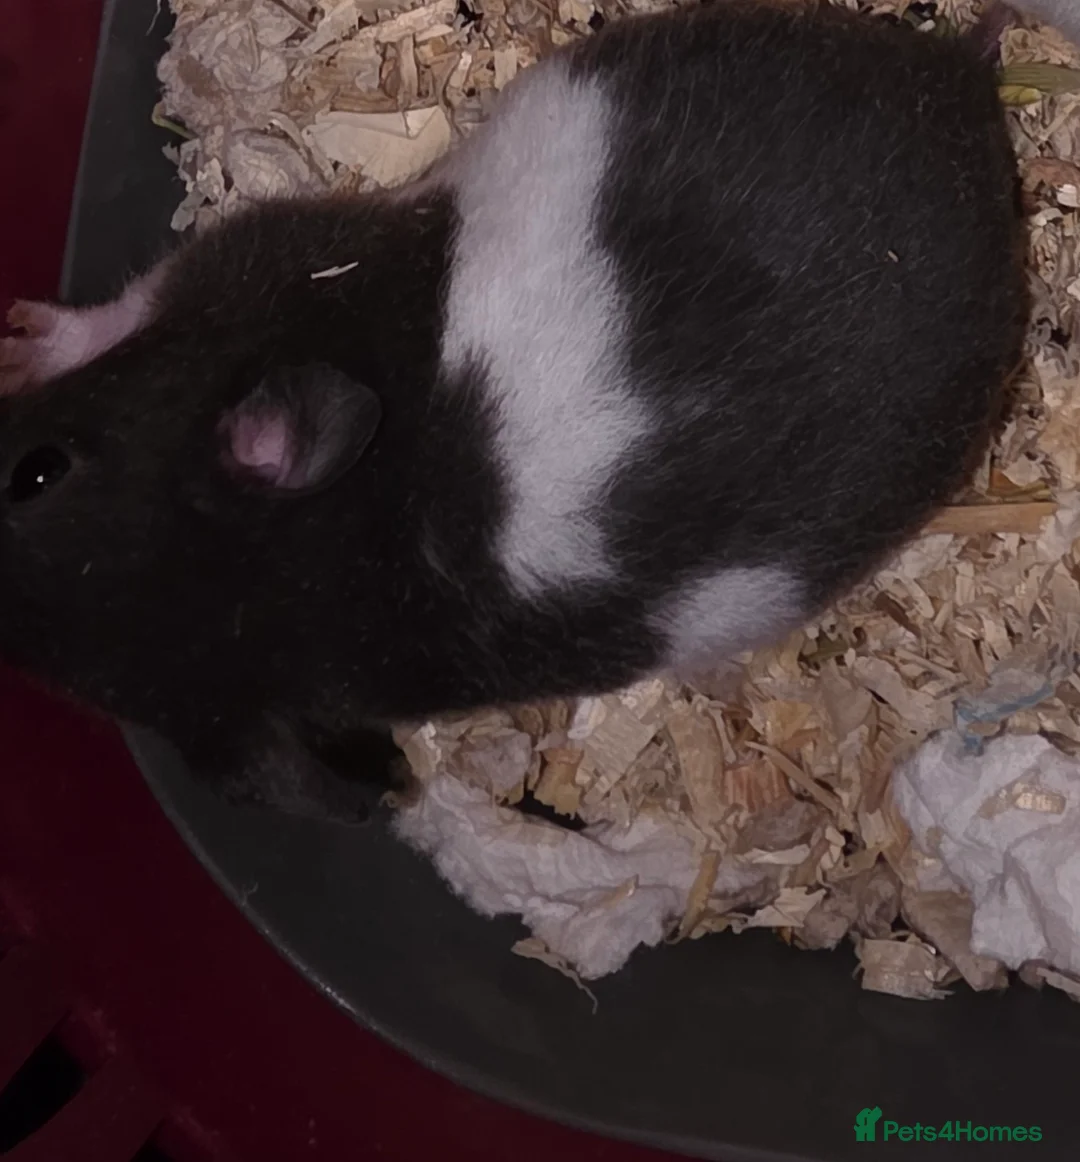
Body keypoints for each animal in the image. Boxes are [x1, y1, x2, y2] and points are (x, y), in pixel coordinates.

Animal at [0, 1, 1028, 822]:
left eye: (37, 472)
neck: (314, 566)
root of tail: (967, 94)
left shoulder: (263, 254)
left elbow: (131, 301)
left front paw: (22, 332)